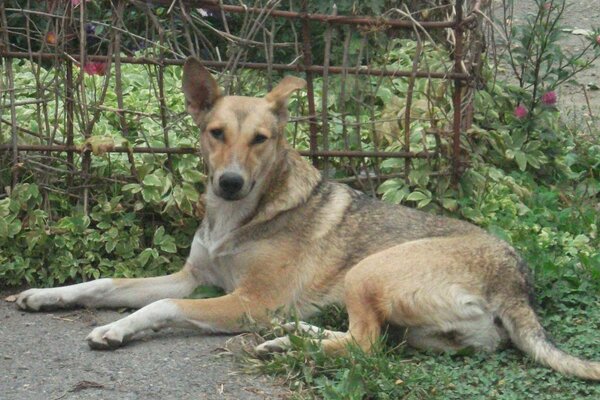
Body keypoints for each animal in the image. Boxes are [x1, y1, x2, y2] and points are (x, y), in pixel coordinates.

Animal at [16, 56, 600, 378]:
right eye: (216, 133)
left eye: (261, 139)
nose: (230, 183)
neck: (240, 216)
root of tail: (517, 280)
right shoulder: (193, 277)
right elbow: (104, 282)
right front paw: (46, 296)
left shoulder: (248, 300)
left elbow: (158, 305)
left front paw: (116, 329)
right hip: (412, 324)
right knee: (369, 340)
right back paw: (287, 337)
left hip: (370, 271)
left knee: (365, 347)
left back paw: (284, 343)